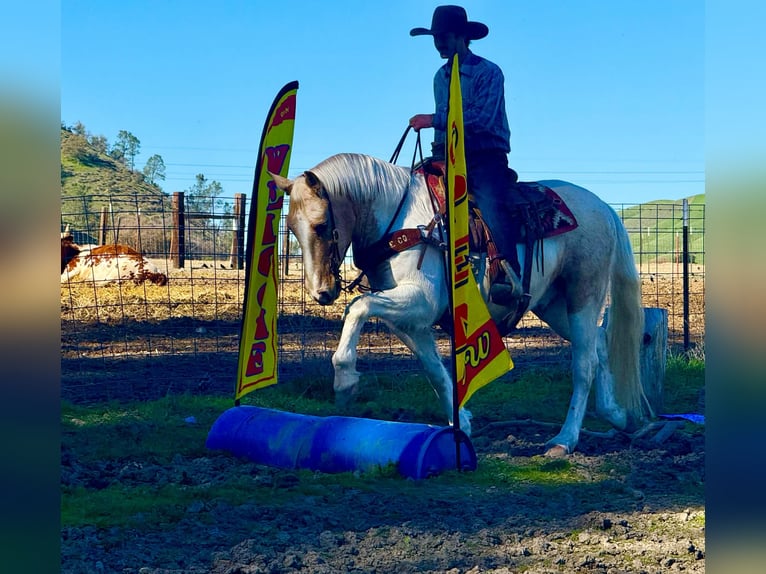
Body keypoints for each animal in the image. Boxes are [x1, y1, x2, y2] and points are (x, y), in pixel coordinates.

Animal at [271, 153, 649, 456]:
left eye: (321, 225)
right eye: (292, 229)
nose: (321, 292)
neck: (402, 219)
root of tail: (604, 209)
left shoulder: (420, 300)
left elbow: (358, 306)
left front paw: (345, 379)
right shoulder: (408, 319)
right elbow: (434, 370)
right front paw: (461, 424)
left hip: (584, 294)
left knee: (584, 363)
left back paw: (565, 439)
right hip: (553, 306)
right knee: (598, 344)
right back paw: (616, 415)